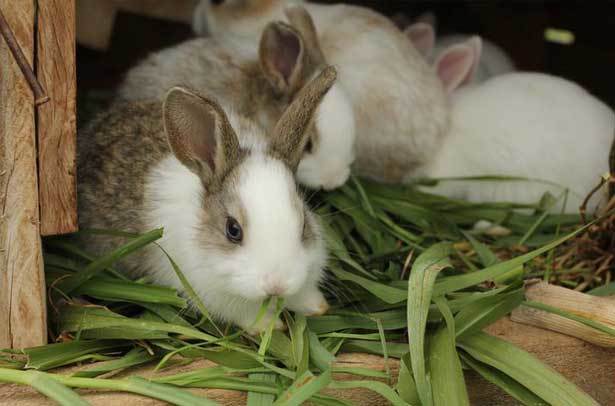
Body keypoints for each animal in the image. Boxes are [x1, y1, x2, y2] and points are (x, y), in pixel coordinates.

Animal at [78, 67, 342, 334]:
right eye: (233, 230)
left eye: (303, 224)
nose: (276, 285)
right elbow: (245, 314)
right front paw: (269, 325)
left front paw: (317, 306)